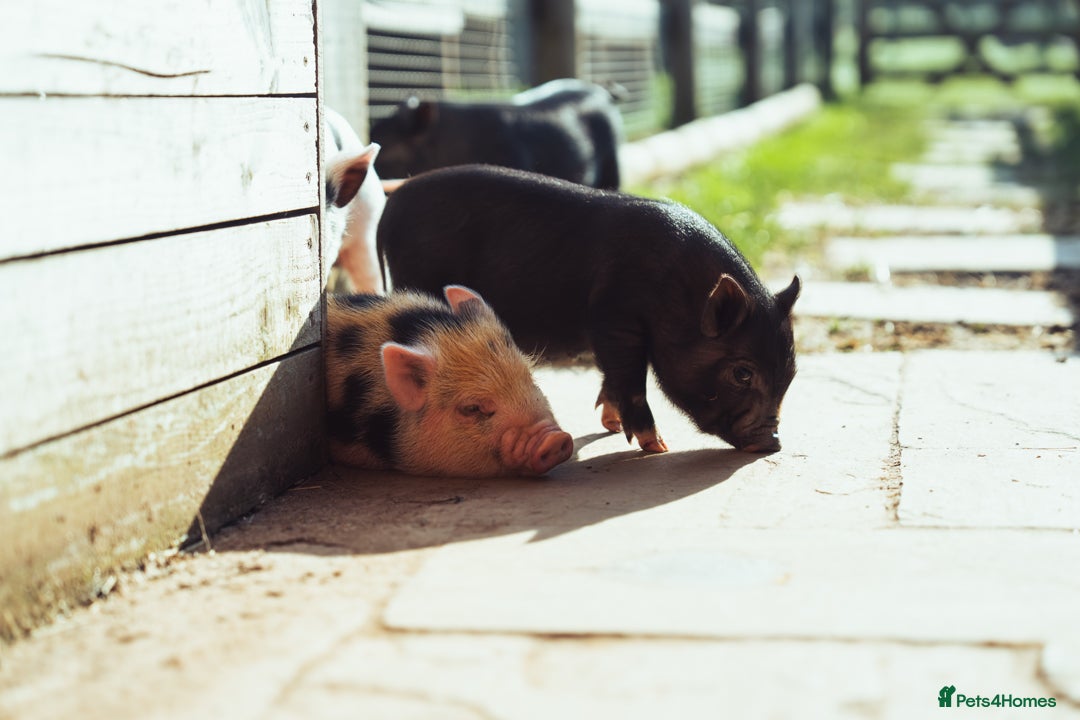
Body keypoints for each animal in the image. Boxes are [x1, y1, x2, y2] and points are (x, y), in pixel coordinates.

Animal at [377, 165, 801, 454]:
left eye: (792, 373)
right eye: (743, 373)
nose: (774, 442)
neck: (674, 290)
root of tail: (389, 209)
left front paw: (611, 426)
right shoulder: (614, 318)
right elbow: (630, 378)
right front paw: (657, 447)